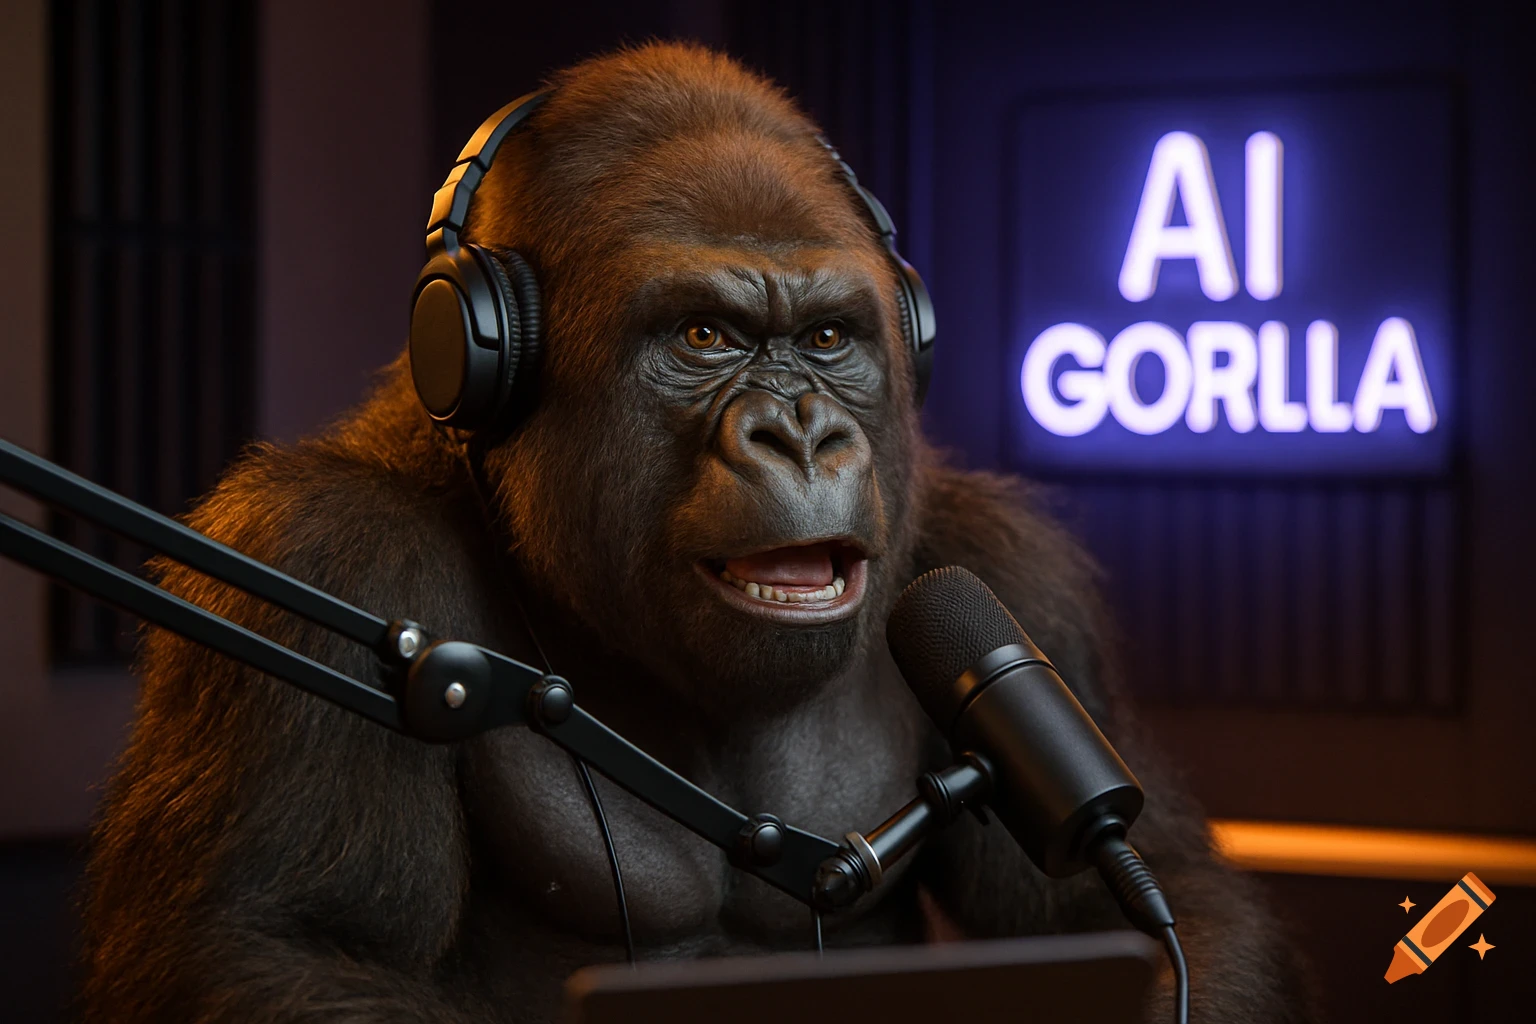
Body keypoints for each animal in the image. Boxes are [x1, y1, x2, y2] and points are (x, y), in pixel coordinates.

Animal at [79, 42, 1314, 1023]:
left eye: (828, 338)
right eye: (706, 335)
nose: (799, 432)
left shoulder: (1016, 572)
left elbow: (1139, 904)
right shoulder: (323, 553)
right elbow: (274, 946)